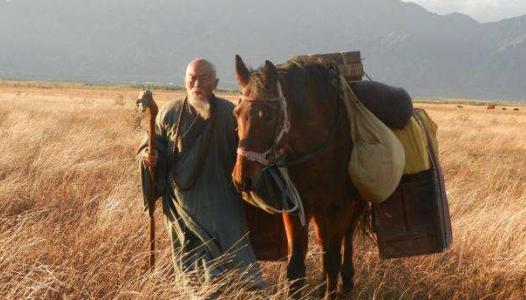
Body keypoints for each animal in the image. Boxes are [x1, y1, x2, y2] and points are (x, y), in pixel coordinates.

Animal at [235, 55, 368, 298]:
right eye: (236, 113)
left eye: (267, 116)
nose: (242, 179)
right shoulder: (297, 210)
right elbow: (296, 268)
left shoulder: (340, 208)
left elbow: (333, 259)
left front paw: (332, 291)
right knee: (324, 241)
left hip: (354, 205)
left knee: (346, 236)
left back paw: (346, 281)